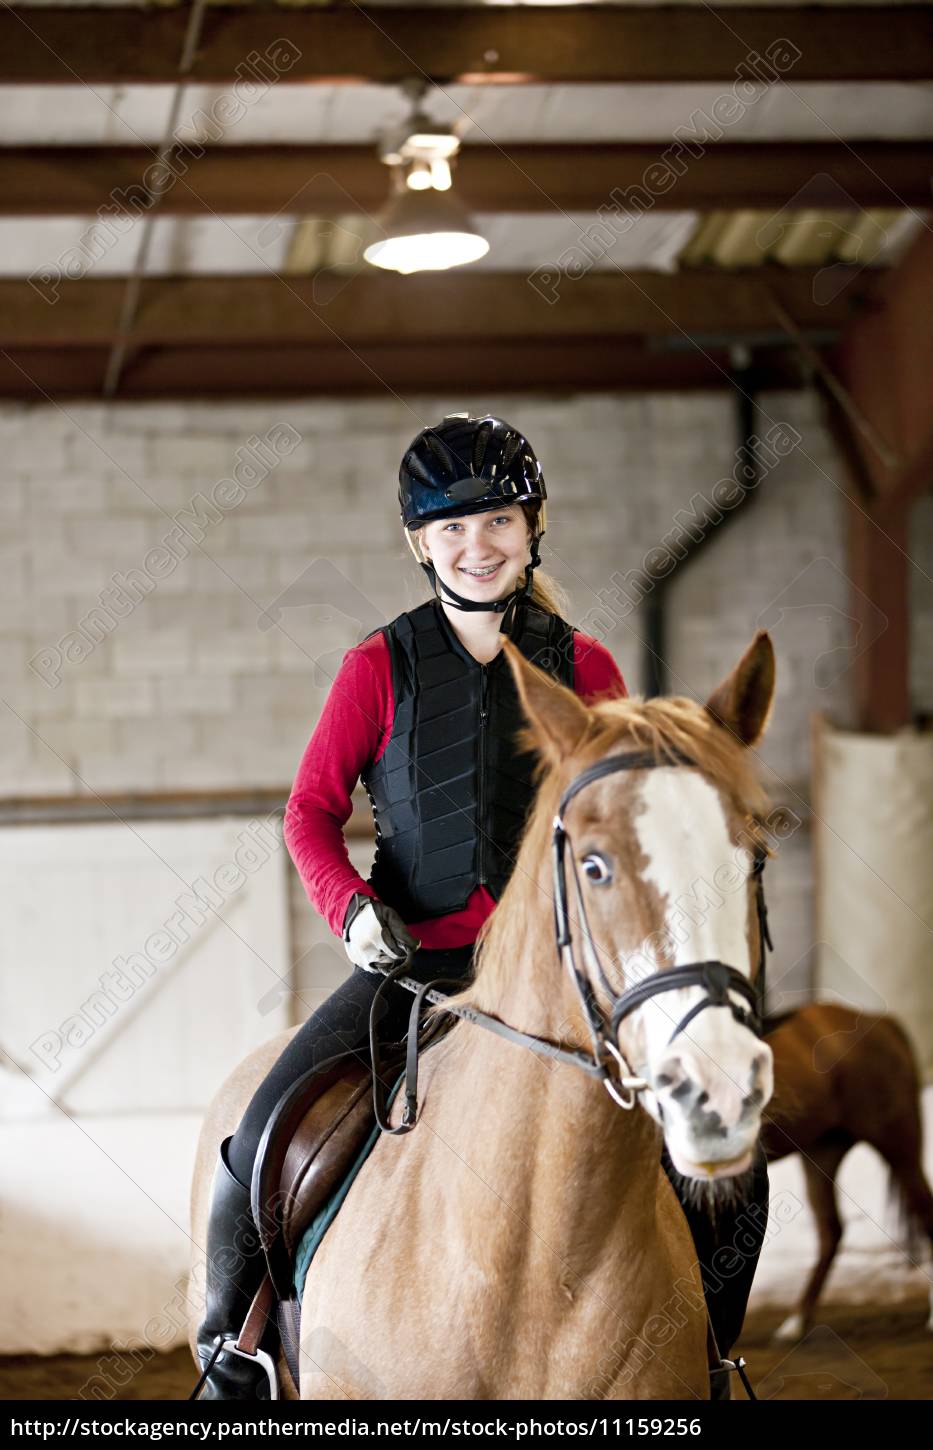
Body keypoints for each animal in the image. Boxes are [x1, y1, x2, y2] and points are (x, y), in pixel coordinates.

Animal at [760, 1009, 928, 1334]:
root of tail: (882, 1021)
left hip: (900, 1146)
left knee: (925, 1211)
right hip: (822, 1152)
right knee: (831, 1231)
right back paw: (797, 1321)